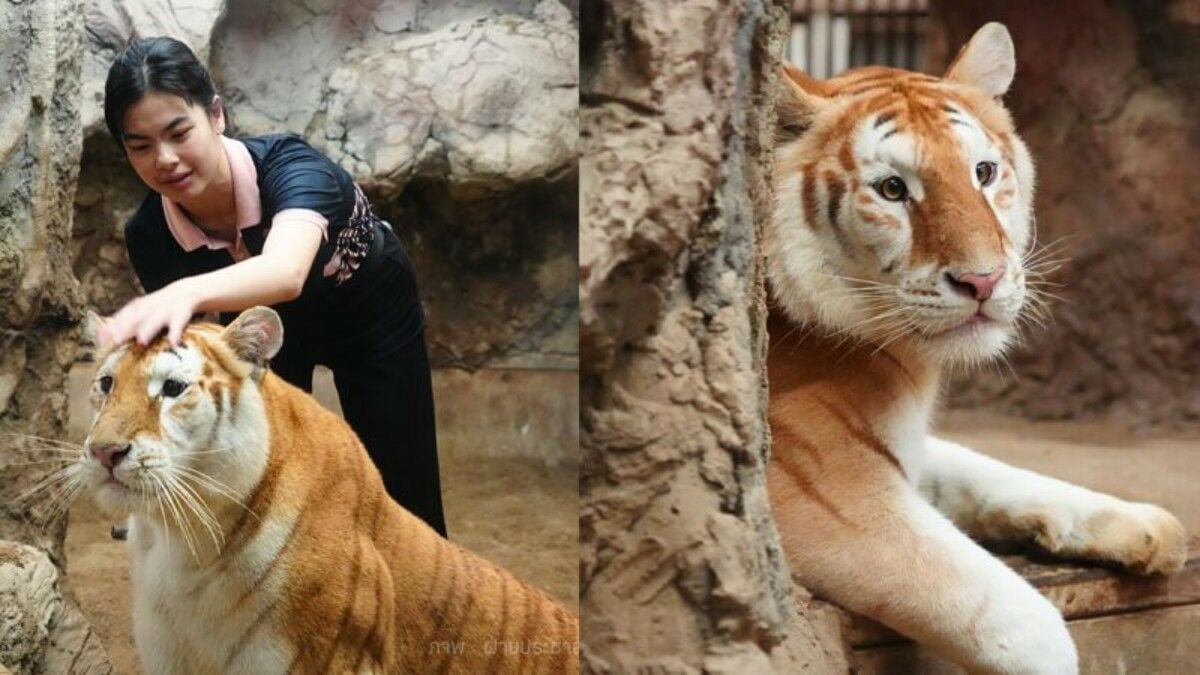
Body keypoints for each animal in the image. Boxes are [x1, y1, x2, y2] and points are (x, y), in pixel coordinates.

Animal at [763, 22, 1185, 672]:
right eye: (892, 189)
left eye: (983, 173)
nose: (983, 281)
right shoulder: (822, 493)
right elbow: (1019, 618)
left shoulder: (902, 445)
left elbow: (985, 469)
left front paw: (1143, 524)